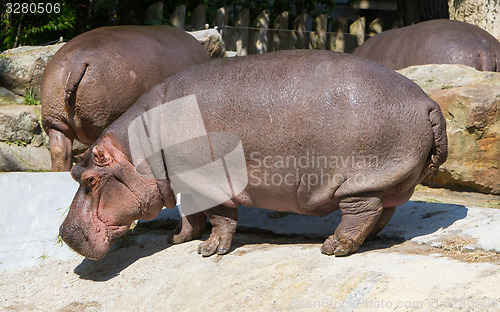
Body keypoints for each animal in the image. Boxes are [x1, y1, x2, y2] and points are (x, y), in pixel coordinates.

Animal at [59, 50, 450, 260]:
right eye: (75, 175)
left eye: (90, 179)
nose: (64, 231)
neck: (139, 148)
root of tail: (428, 101)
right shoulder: (184, 182)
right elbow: (191, 215)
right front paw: (178, 239)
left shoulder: (206, 181)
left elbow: (219, 217)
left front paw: (209, 251)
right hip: (390, 177)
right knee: (384, 210)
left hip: (359, 178)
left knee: (363, 210)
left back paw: (333, 247)